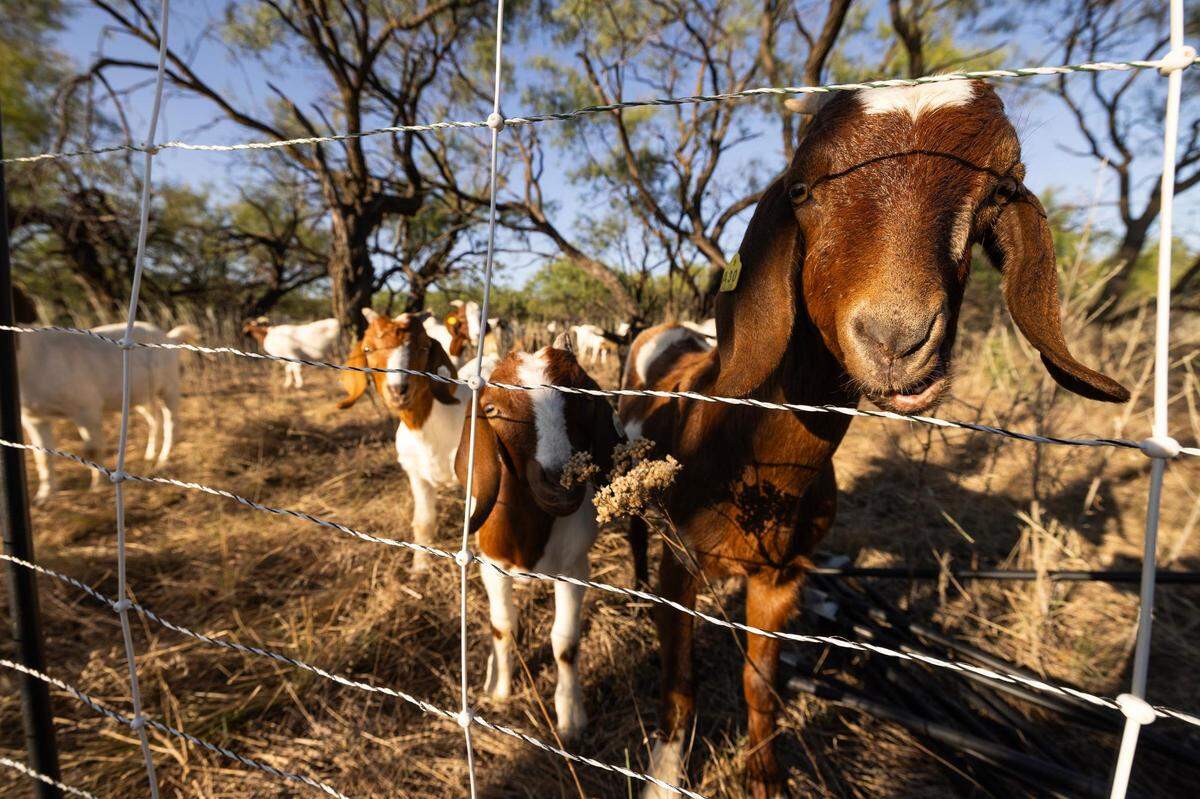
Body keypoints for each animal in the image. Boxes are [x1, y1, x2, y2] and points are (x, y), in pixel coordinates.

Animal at [19, 322, 198, 502]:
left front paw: (97, 487)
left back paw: (163, 461)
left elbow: (92, 450)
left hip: (169, 385)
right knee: (154, 419)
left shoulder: (86, 408)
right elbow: (42, 455)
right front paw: (44, 496)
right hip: (141, 395)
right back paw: (149, 455)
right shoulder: (33, 418)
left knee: (171, 422)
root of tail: (169, 337)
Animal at [338, 308, 466, 571]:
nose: (398, 389)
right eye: (368, 349)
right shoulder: (416, 473)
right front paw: (420, 568)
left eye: (425, 346)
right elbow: (424, 521)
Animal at [457, 336, 622, 739]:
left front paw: (571, 716)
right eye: (492, 409)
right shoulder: (491, 564)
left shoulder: (576, 569)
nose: (562, 482)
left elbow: (565, 643)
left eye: (586, 399)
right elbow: (503, 626)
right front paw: (500, 688)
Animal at [619, 81, 1129, 798]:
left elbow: (760, 683)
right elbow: (679, 681)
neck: (752, 460)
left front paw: (766, 778)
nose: (895, 338)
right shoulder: (681, 565)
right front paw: (665, 774)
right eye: (801, 189)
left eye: (999, 190)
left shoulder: (784, 578)